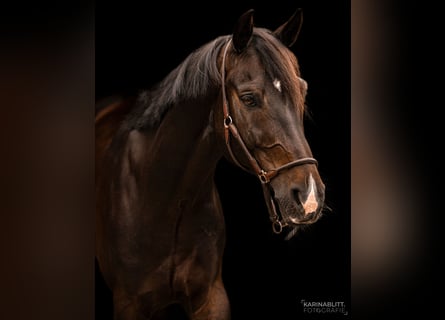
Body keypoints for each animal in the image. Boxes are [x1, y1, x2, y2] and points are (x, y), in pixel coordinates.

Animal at [97, 8, 324, 320]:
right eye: (249, 98)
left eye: (302, 92)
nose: (309, 196)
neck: (165, 199)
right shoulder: (129, 304)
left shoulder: (211, 297)